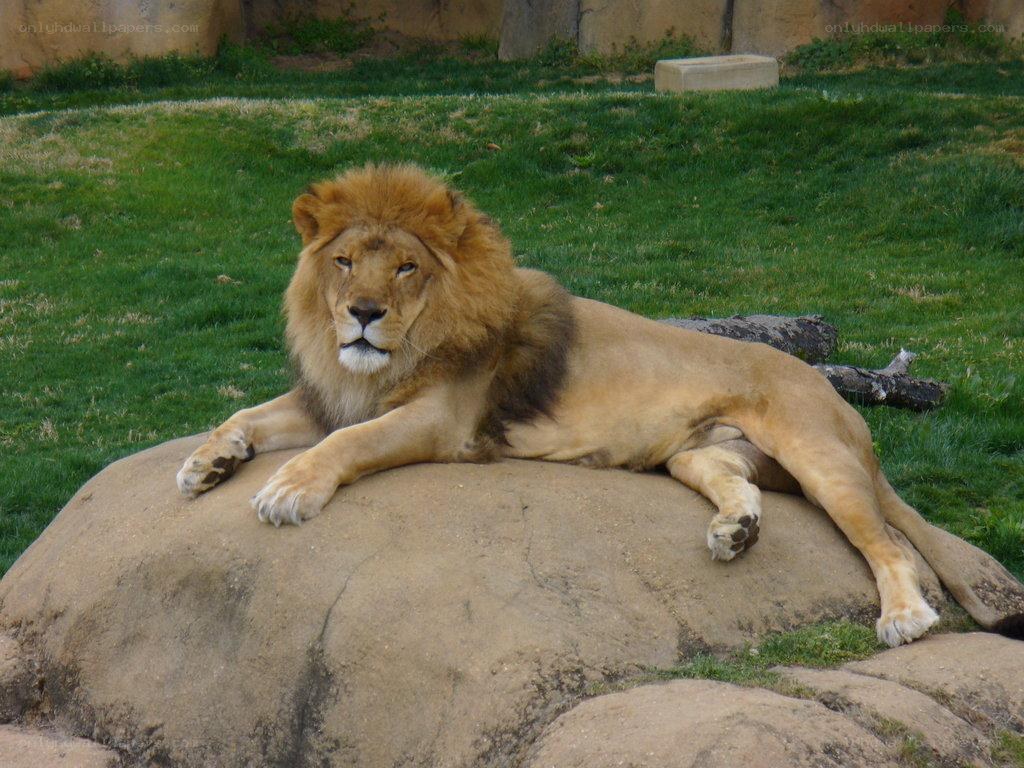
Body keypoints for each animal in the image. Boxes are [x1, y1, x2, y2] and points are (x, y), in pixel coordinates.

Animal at [177, 163, 1021, 647]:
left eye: (407, 268)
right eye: (347, 261)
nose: (361, 314)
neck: (389, 356)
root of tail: (831, 392)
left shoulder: (441, 420)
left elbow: (344, 447)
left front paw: (288, 491)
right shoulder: (336, 393)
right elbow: (249, 416)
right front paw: (206, 462)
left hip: (819, 455)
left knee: (892, 540)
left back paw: (903, 617)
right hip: (698, 451)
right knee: (735, 481)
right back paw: (735, 530)